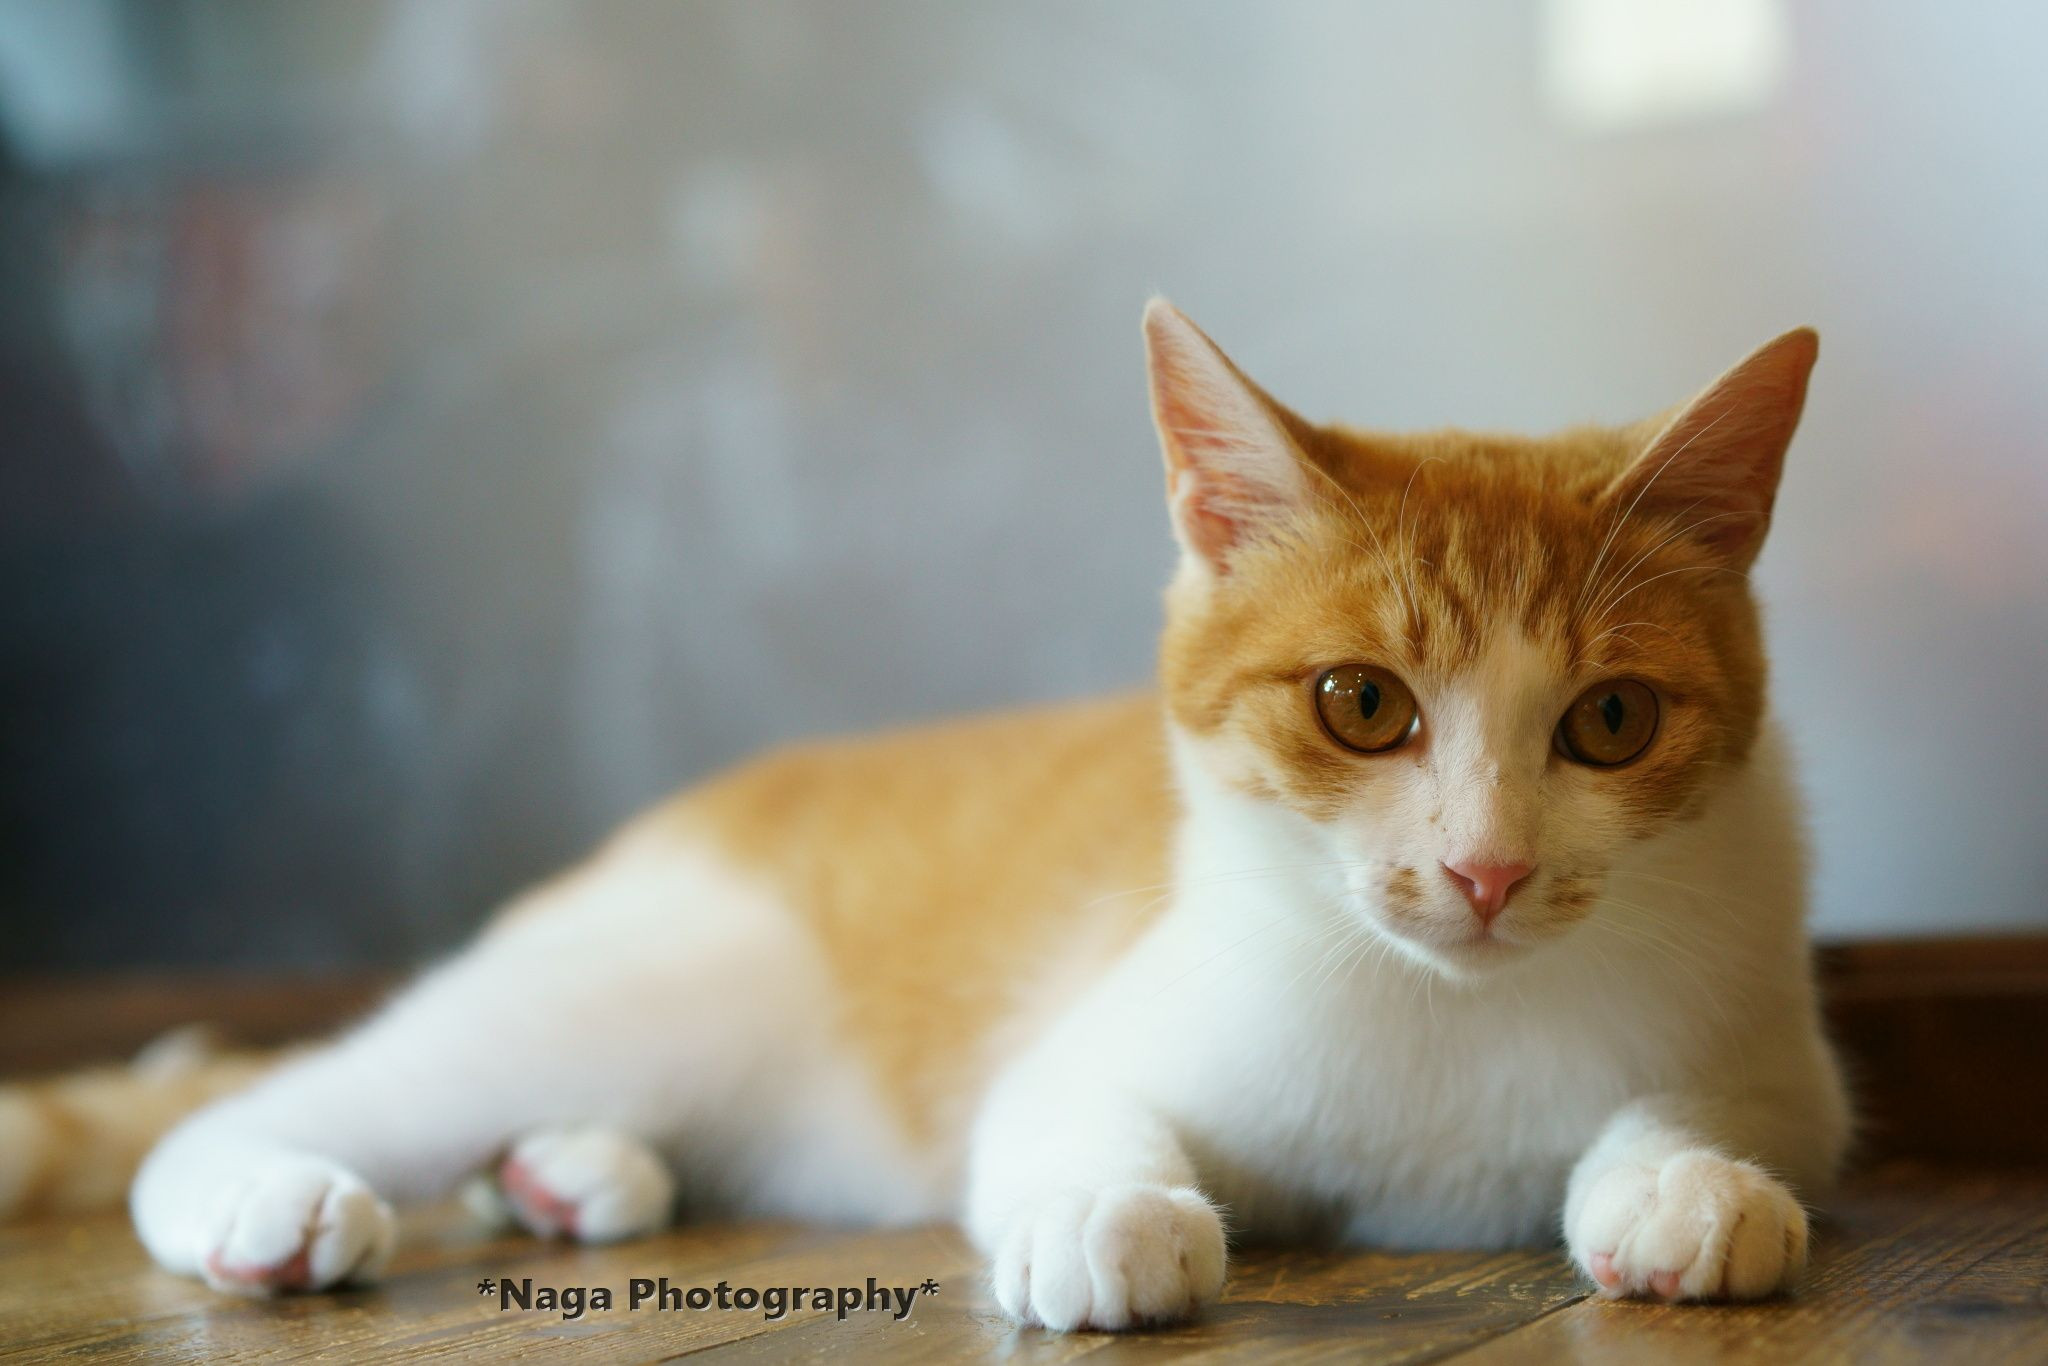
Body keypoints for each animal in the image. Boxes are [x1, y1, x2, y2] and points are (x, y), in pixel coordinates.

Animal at [0, 300, 1849, 1331]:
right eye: (1361, 706)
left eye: (1609, 722)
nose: (1481, 867)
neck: (1445, 1015)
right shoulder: (1097, 1033)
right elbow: (1064, 1112)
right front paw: (1106, 1214)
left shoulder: (1774, 1041)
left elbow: (1726, 1106)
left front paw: (1682, 1183)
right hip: (631, 987)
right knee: (277, 1107)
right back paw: (269, 1198)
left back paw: (565, 1173)